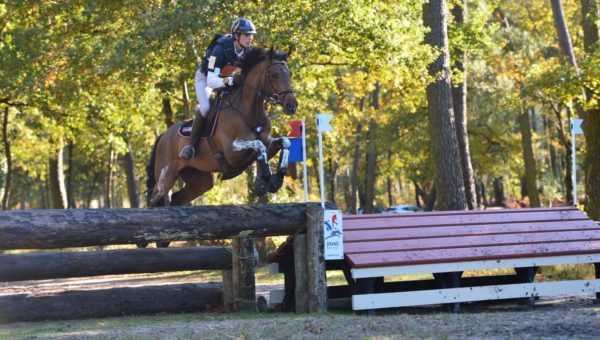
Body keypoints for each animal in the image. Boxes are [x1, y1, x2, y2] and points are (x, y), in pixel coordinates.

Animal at [144, 47, 298, 212]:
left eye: (289, 74)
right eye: (274, 75)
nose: (292, 105)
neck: (248, 111)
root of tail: (163, 136)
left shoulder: (268, 142)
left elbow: (284, 142)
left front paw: (276, 178)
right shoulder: (232, 153)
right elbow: (259, 145)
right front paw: (265, 180)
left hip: (200, 181)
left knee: (176, 199)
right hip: (166, 176)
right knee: (155, 199)